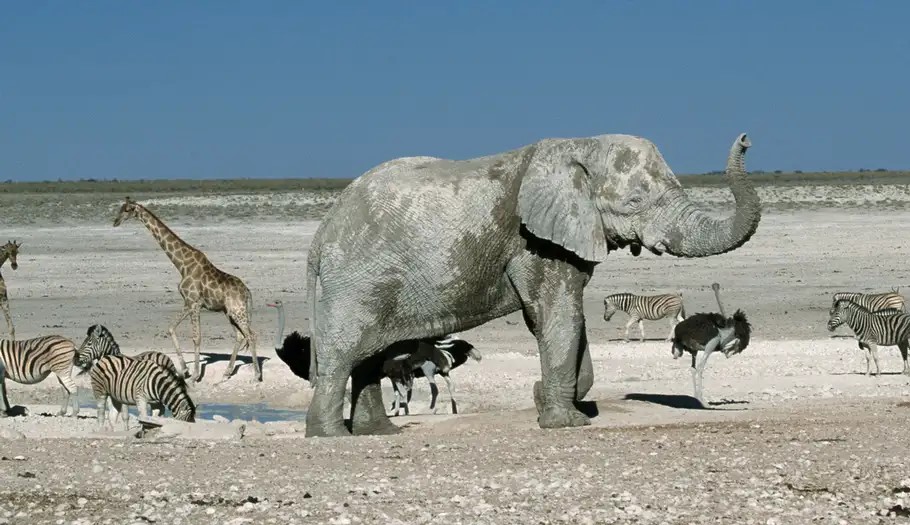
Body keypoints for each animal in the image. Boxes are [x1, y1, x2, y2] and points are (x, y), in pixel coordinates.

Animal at [113, 196, 260, 380]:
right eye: (120, 208)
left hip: (237, 311)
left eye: (127, 210)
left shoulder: (195, 303)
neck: (182, 265)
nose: (115, 222)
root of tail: (247, 292)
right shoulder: (188, 302)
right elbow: (171, 328)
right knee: (240, 336)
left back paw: (256, 375)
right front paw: (185, 369)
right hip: (229, 312)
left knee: (251, 335)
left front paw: (196, 374)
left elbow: (196, 337)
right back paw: (227, 372)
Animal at [304, 132, 764, 438]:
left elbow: (565, 319)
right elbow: (558, 316)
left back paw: (377, 433)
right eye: (634, 202)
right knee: (345, 352)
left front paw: (547, 397)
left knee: (368, 357)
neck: (579, 145)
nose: (746, 139)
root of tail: (322, 232)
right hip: (358, 279)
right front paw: (567, 423)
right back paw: (332, 437)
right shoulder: (535, 241)